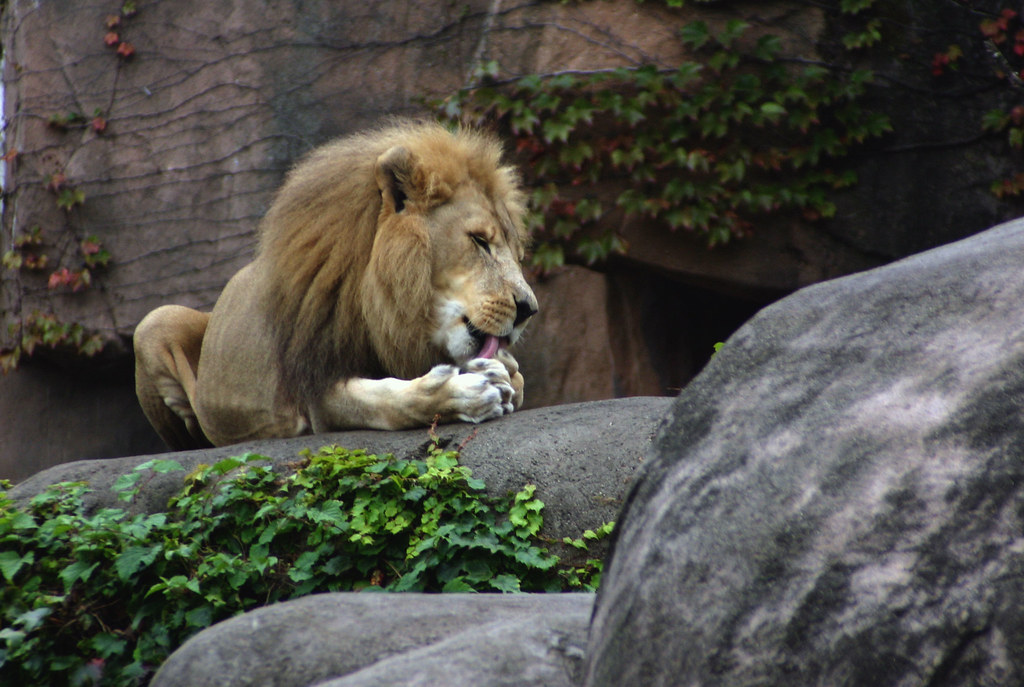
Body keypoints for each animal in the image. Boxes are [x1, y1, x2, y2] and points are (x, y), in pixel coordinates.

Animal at [133, 120, 538, 450]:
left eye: (515, 252)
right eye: (480, 241)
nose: (529, 310)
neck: (385, 305)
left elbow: (516, 379)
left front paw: (503, 373)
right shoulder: (315, 390)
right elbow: (384, 399)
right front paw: (461, 392)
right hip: (154, 321)